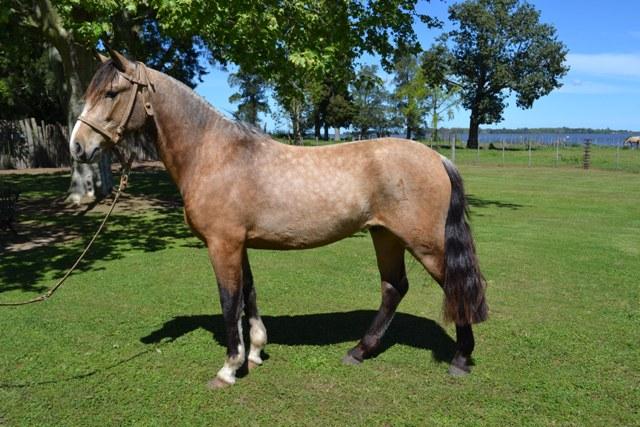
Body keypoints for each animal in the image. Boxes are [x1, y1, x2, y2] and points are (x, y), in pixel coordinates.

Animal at [70, 47, 488, 389]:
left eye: (111, 93)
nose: (77, 147)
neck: (215, 155)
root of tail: (437, 157)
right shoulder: (239, 244)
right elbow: (249, 294)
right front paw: (254, 353)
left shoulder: (222, 245)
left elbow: (229, 301)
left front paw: (229, 368)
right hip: (385, 235)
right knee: (393, 288)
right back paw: (359, 351)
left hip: (425, 244)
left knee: (452, 285)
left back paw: (460, 358)